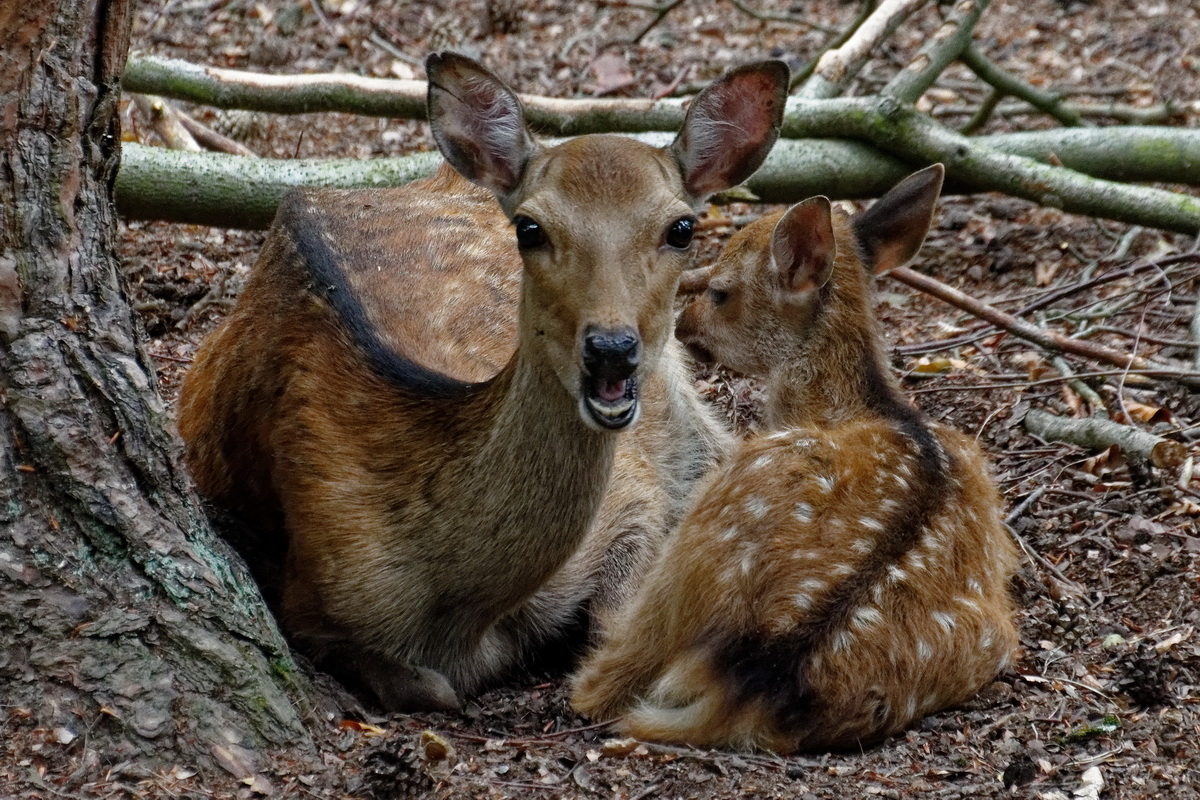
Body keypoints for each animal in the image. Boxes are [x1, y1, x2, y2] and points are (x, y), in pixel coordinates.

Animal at [177, 53, 792, 710]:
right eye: (529, 228)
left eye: (681, 227)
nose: (611, 349)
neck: (456, 608)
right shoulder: (309, 596)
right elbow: (431, 687)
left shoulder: (635, 495)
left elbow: (614, 621)